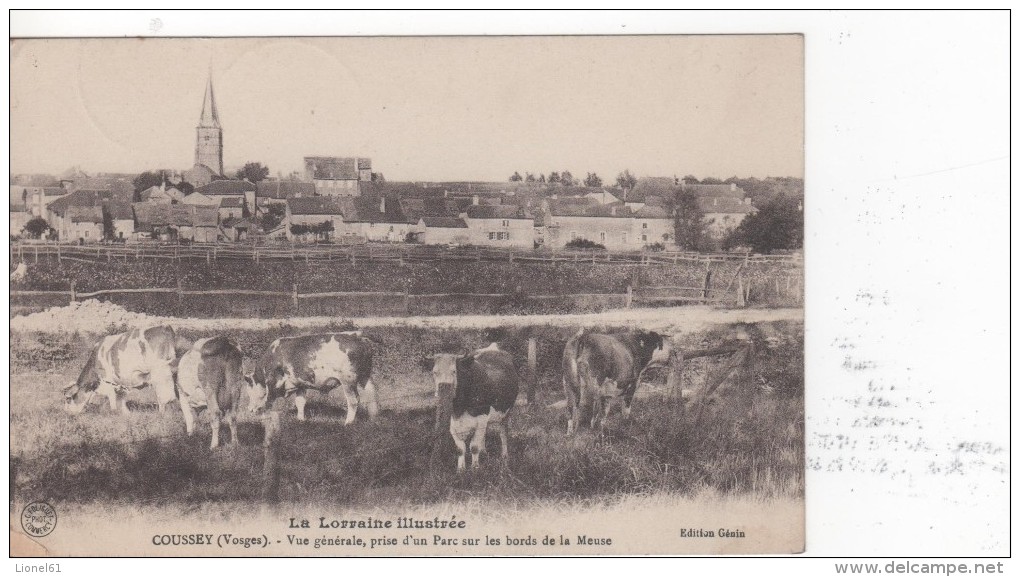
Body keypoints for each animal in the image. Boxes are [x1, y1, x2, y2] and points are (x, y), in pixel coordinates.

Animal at [245, 330, 379, 426]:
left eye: (250, 392)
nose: (250, 409)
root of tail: (358, 336)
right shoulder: (300, 383)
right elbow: (300, 402)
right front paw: (300, 419)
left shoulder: (273, 383)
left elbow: (268, 402)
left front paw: (264, 419)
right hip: (366, 377)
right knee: (371, 397)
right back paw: (373, 420)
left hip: (348, 380)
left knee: (353, 400)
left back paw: (348, 423)